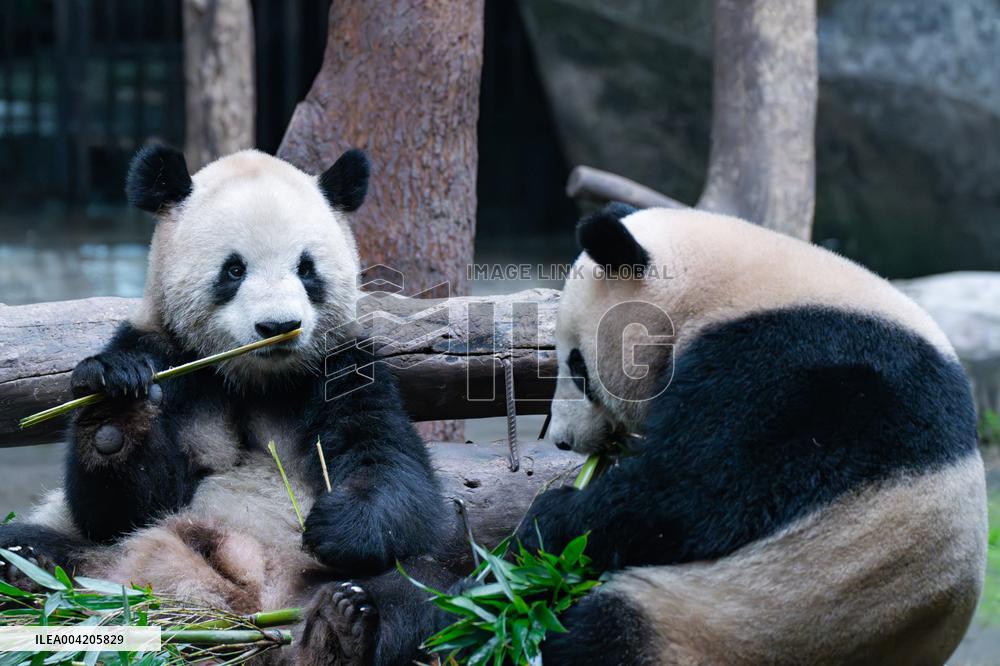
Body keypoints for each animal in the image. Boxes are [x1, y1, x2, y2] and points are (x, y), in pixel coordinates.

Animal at [0, 144, 448, 662]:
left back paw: (338, 629)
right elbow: (118, 511)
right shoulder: (166, 352)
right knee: (30, 543)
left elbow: (393, 469)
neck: (255, 378)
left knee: (426, 581)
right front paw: (114, 412)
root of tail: (245, 607)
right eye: (234, 269)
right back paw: (26, 570)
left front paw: (336, 524)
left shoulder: (343, 369)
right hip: (101, 566)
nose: (278, 327)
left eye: (306, 268)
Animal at [322, 202, 988, 666]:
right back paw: (367, 618)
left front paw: (552, 514)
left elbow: (693, 495)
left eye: (578, 366)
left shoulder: (803, 372)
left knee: (580, 635)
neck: (733, 285)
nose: (562, 443)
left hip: (728, 622)